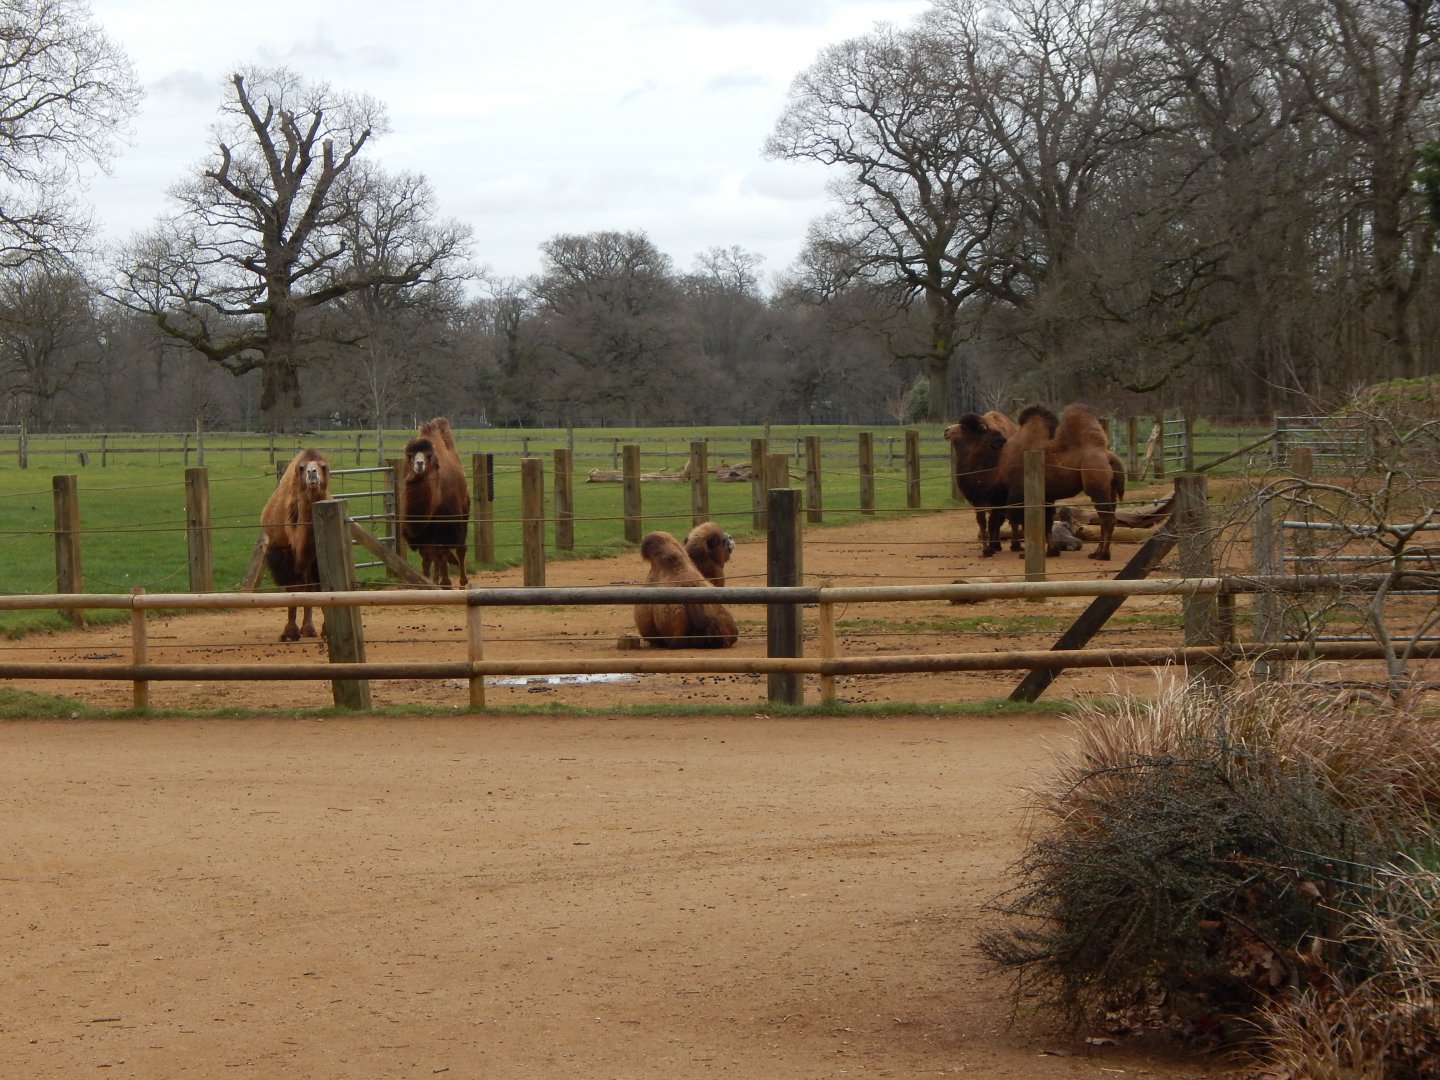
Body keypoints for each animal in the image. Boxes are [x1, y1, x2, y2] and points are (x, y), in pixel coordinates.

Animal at [260, 448, 331, 641]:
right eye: (301, 468)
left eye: (323, 466)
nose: (312, 473)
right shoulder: (283, 554)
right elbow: (293, 589)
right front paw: (290, 632)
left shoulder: (315, 558)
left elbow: (321, 588)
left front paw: (326, 629)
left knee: (310, 587)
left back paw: (308, 628)